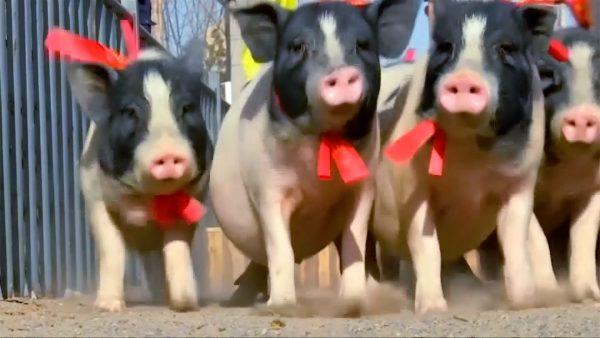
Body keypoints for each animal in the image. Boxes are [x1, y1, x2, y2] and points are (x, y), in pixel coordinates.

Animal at [67, 46, 212, 312]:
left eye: (186, 108)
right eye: (130, 112)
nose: (168, 153)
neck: (148, 199)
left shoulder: (195, 196)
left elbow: (177, 246)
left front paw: (185, 304)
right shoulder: (94, 196)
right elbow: (111, 248)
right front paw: (108, 307)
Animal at [210, 0, 418, 306]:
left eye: (362, 45)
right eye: (298, 46)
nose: (341, 73)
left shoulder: (363, 187)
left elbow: (355, 241)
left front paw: (356, 300)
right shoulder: (268, 188)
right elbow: (280, 247)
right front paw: (283, 305)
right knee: (259, 261)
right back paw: (240, 300)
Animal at [372, 0, 560, 314]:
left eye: (505, 47)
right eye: (446, 46)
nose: (463, 79)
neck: (471, 166)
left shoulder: (521, 184)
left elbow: (515, 241)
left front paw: (524, 302)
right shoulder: (414, 189)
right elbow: (425, 246)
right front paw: (433, 309)